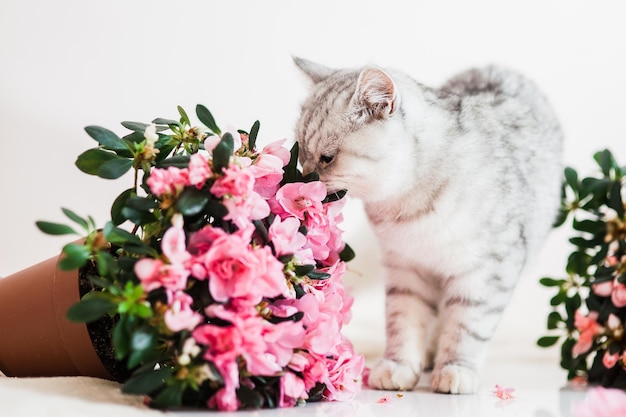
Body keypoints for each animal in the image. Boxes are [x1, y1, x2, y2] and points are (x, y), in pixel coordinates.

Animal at [292, 56, 560, 394]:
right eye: (300, 153)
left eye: (327, 158)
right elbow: (403, 321)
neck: (405, 203)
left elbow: (467, 325)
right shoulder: (406, 269)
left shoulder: (489, 268)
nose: (304, 180)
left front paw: (456, 368)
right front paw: (399, 366)